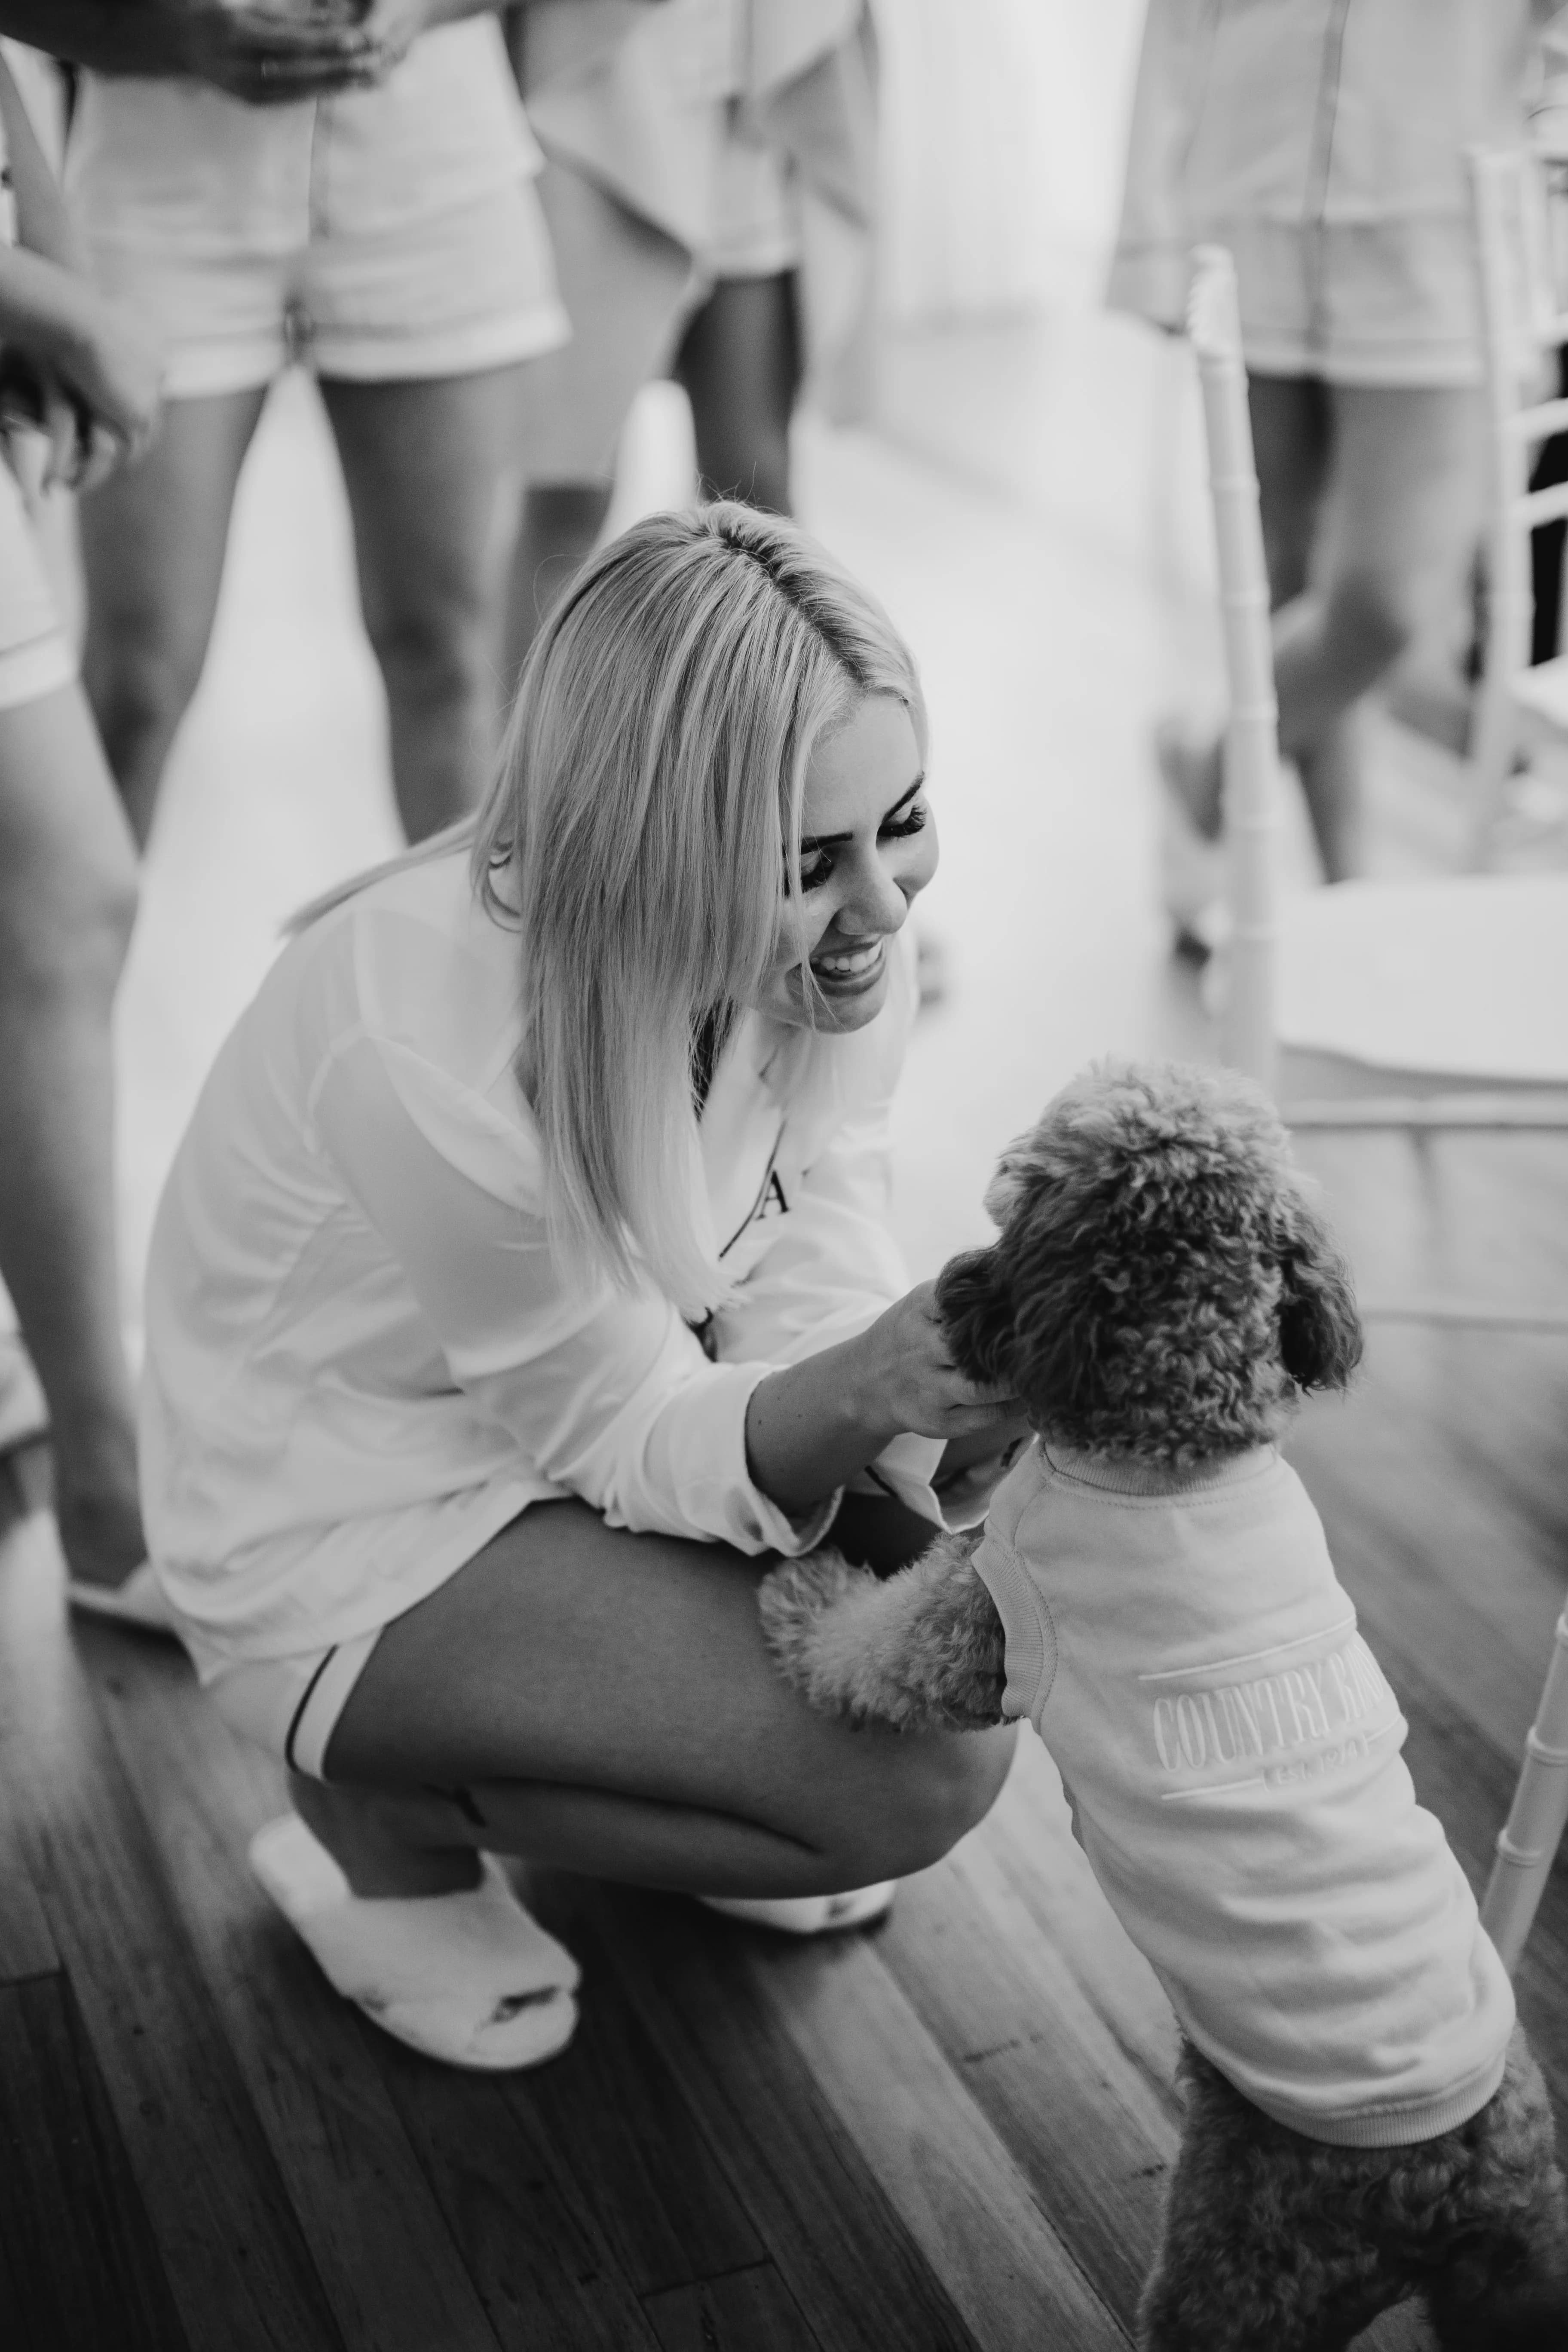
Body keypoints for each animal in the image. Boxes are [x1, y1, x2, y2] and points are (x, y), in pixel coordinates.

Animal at [762, 1068, 1568, 2352]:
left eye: (1025, 1183)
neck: (1183, 1423)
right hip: (1495, 2278)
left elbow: (861, 1646)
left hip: (1242, 2262)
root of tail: (1462, 2181)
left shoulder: (969, 1621)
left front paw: (798, 1591)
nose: (962, 1278)